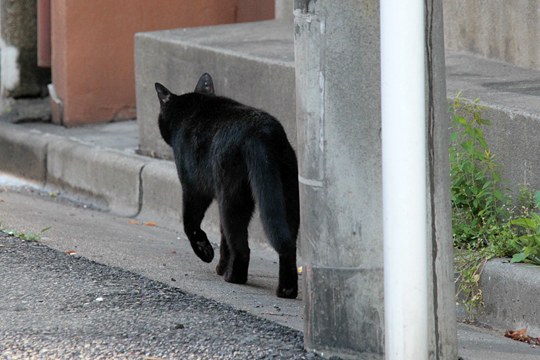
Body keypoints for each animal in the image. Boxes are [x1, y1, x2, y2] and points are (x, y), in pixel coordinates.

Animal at [156, 73, 300, 298]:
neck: (193, 107)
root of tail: (261, 131)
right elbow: (224, 238)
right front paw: (221, 265)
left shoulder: (193, 188)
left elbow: (190, 223)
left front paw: (205, 251)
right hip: (287, 196)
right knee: (287, 243)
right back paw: (287, 289)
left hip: (232, 199)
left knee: (242, 247)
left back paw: (234, 277)